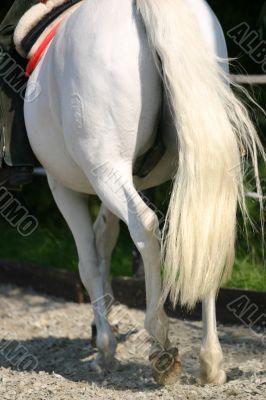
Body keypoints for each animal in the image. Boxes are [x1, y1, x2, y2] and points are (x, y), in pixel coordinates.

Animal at [23, 0, 264, 386]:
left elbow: (88, 263)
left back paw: (161, 344)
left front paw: (105, 347)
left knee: (146, 227)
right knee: (205, 231)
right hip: (191, 159)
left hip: (106, 170)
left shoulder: (63, 187)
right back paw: (211, 361)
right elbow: (104, 243)